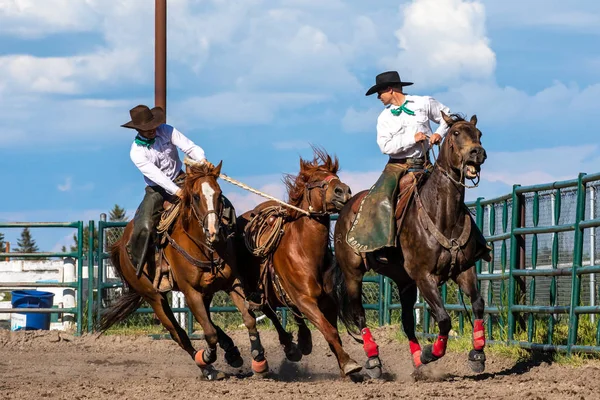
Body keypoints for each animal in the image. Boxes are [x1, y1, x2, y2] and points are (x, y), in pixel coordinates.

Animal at [96, 159, 268, 378]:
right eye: (195, 196)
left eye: (219, 193)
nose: (214, 232)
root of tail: (121, 244)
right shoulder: (190, 291)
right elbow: (209, 333)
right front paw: (206, 357)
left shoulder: (232, 283)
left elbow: (248, 319)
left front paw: (259, 360)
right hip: (154, 297)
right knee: (180, 334)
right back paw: (208, 369)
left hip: (205, 292)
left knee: (208, 322)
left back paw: (231, 352)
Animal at [234, 149, 358, 378]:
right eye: (316, 180)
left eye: (334, 175)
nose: (343, 191)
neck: (304, 252)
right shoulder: (305, 300)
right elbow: (329, 331)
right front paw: (349, 364)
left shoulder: (327, 303)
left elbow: (332, 332)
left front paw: (346, 367)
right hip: (257, 291)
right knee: (270, 313)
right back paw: (291, 347)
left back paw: (302, 341)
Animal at [332, 113, 492, 378]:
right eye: (456, 133)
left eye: (479, 134)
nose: (477, 152)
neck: (443, 214)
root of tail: (346, 209)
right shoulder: (423, 275)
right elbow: (443, 318)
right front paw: (431, 353)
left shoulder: (463, 269)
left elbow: (478, 304)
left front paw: (477, 355)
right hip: (353, 273)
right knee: (359, 314)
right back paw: (374, 361)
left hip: (403, 281)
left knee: (407, 322)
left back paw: (417, 364)